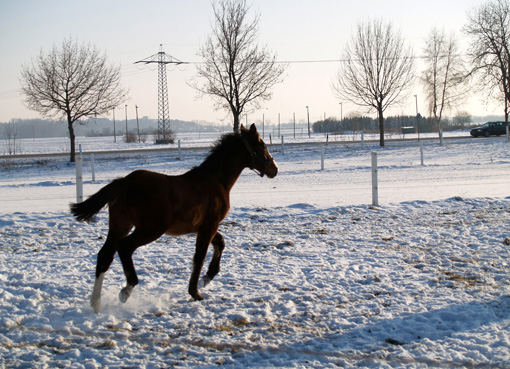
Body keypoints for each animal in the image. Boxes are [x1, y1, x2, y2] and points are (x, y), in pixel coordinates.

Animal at [69, 124, 276, 314]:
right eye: (261, 145)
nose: (274, 169)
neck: (216, 181)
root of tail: (126, 182)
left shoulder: (204, 227)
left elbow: (220, 243)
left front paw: (208, 277)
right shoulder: (209, 226)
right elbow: (199, 256)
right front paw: (196, 292)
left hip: (120, 226)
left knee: (105, 256)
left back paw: (96, 304)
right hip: (150, 229)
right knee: (124, 248)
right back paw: (126, 289)